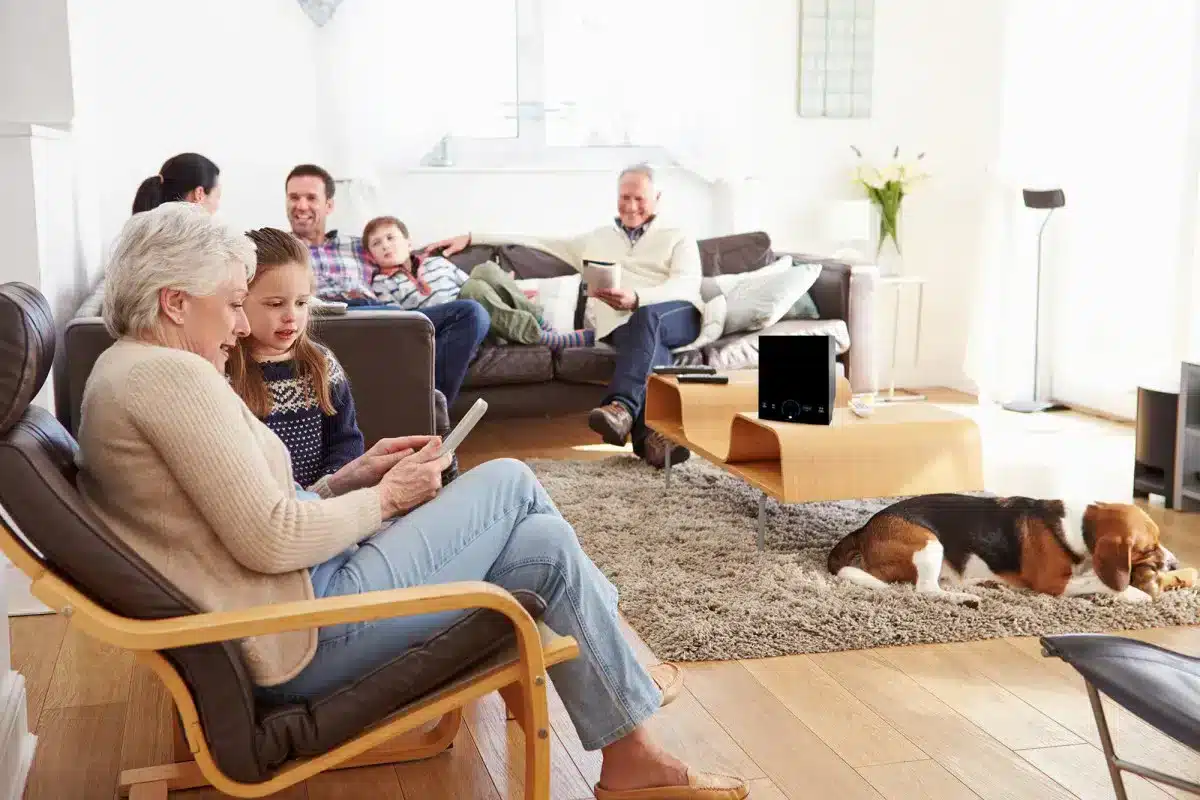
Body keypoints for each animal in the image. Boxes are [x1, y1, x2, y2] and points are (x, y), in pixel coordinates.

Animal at [830, 494, 1176, 606]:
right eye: (1149, 547)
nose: (1174, 564)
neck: (1076, 526)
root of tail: (866, 528)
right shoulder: (1054, 583)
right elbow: (1100, 581)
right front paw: (1135, 592)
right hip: (929, 542)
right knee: (926, 589)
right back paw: (964, 598)